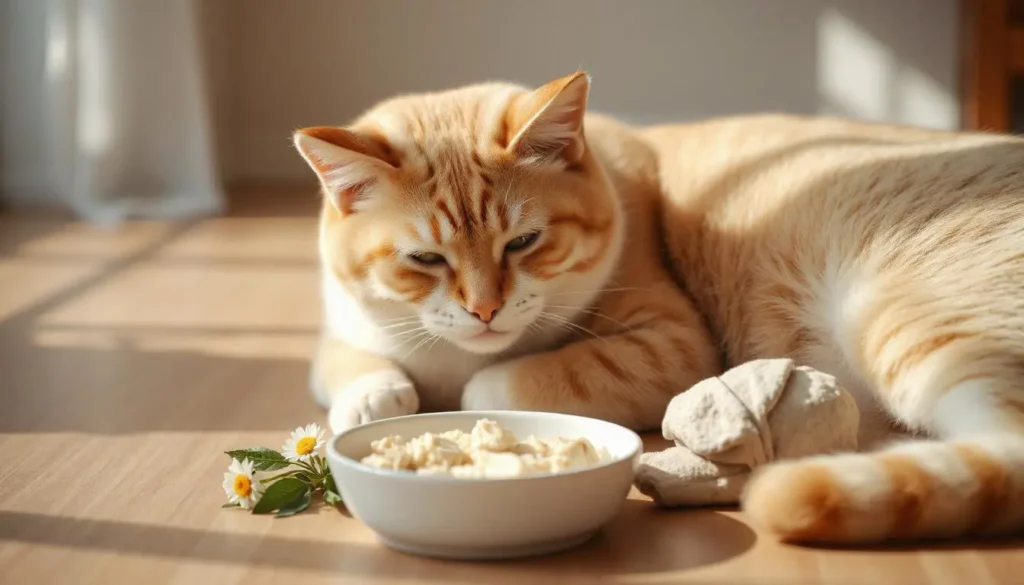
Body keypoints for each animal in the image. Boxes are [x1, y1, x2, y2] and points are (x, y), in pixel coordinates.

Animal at [292, 72, 1024, 545]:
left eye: (523, 242)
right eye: (425, 260)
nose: (484, 309)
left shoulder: (670, 342)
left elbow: (507, 381)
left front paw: (468, 395)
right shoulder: (341, 326)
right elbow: (355, 367)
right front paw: (375, 398)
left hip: (913, 325)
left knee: (998, 443)